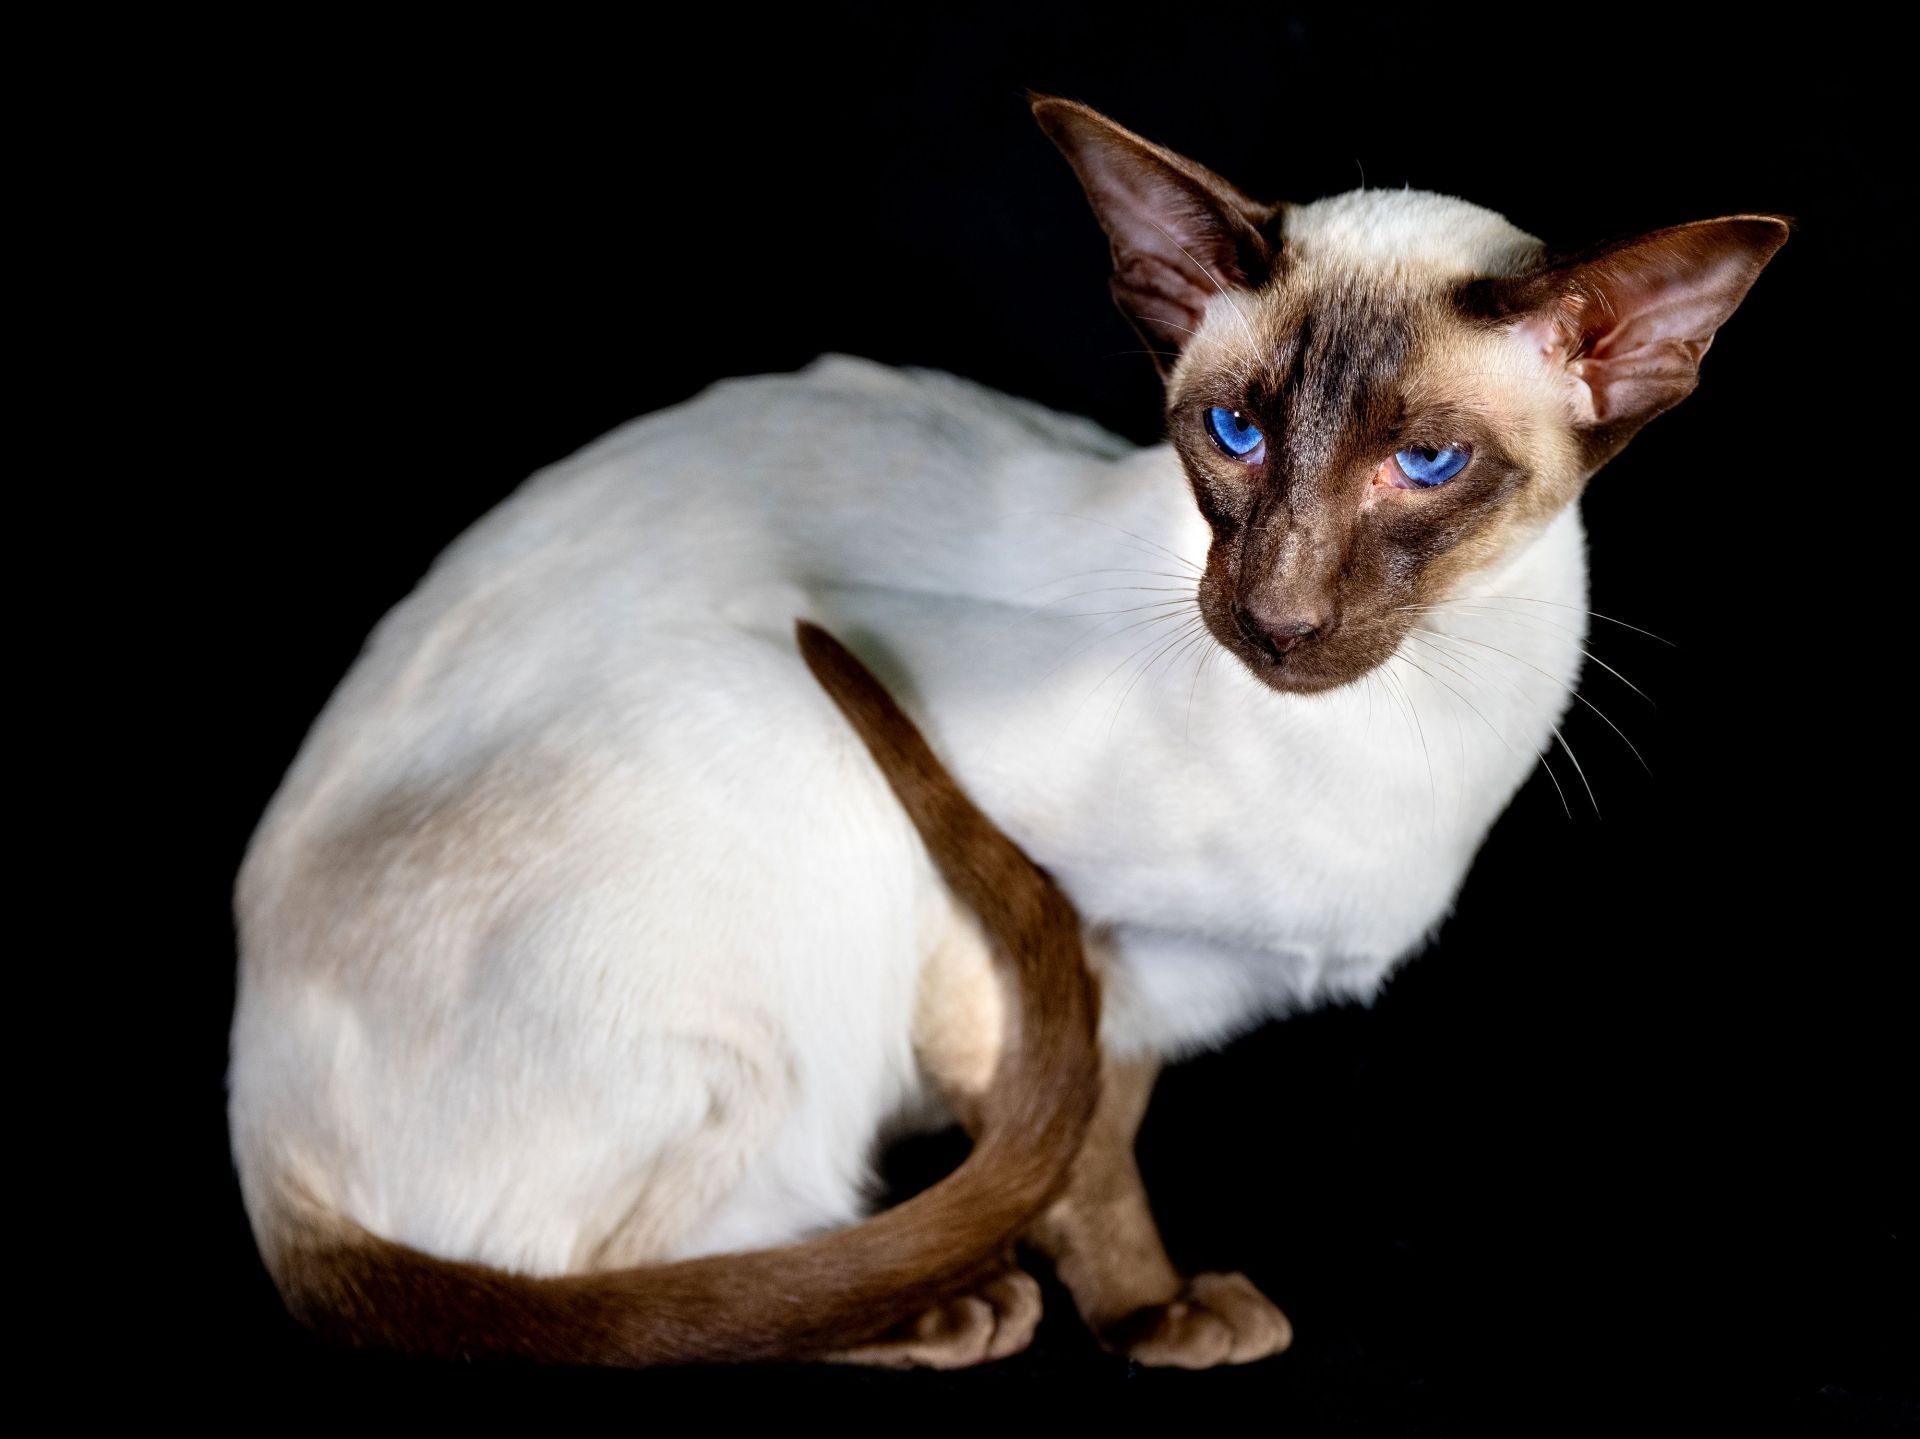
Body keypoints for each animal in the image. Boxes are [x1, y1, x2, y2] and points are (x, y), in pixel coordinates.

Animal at [232, 95, 1789, 1367]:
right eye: (1232, 433)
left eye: (1427, 463)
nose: (1275, 619)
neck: (1404, 733)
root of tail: (262, 1149)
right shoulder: (1020, 925)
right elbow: (1077, 1152)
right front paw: (1152, 1315)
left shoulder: (1136, 984)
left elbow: (1098, 1116)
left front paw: (1141, 1299)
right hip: (778, 727)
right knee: (641, 1282)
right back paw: (936, 1305)